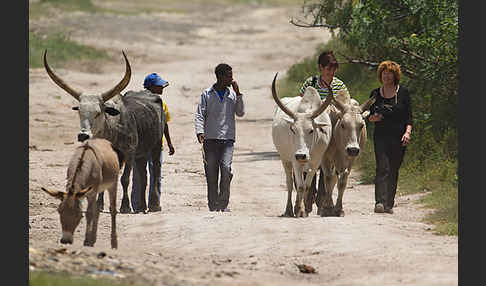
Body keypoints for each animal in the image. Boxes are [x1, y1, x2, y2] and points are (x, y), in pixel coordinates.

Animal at [44, 50, 165, 212]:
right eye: (80, 111)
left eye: (98, 112)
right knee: (143, 176)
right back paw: (141, 207)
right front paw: (99, 205)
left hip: (155, 146)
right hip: (141, 154)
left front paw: (125, 207)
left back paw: (153, 205)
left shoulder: (129, 152)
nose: (83, 135)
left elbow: (125, 179)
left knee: (154, 172)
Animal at [270, 73, 334, 217]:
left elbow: (307, 186)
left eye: (311, 130)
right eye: (293, 129)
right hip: (285, 158)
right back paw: (289, 209)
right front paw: (300, 210)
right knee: (289, 183)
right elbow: (299, 185)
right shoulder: (294, 160)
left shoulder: (316, 162)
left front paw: (303, 209)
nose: (301, 155)